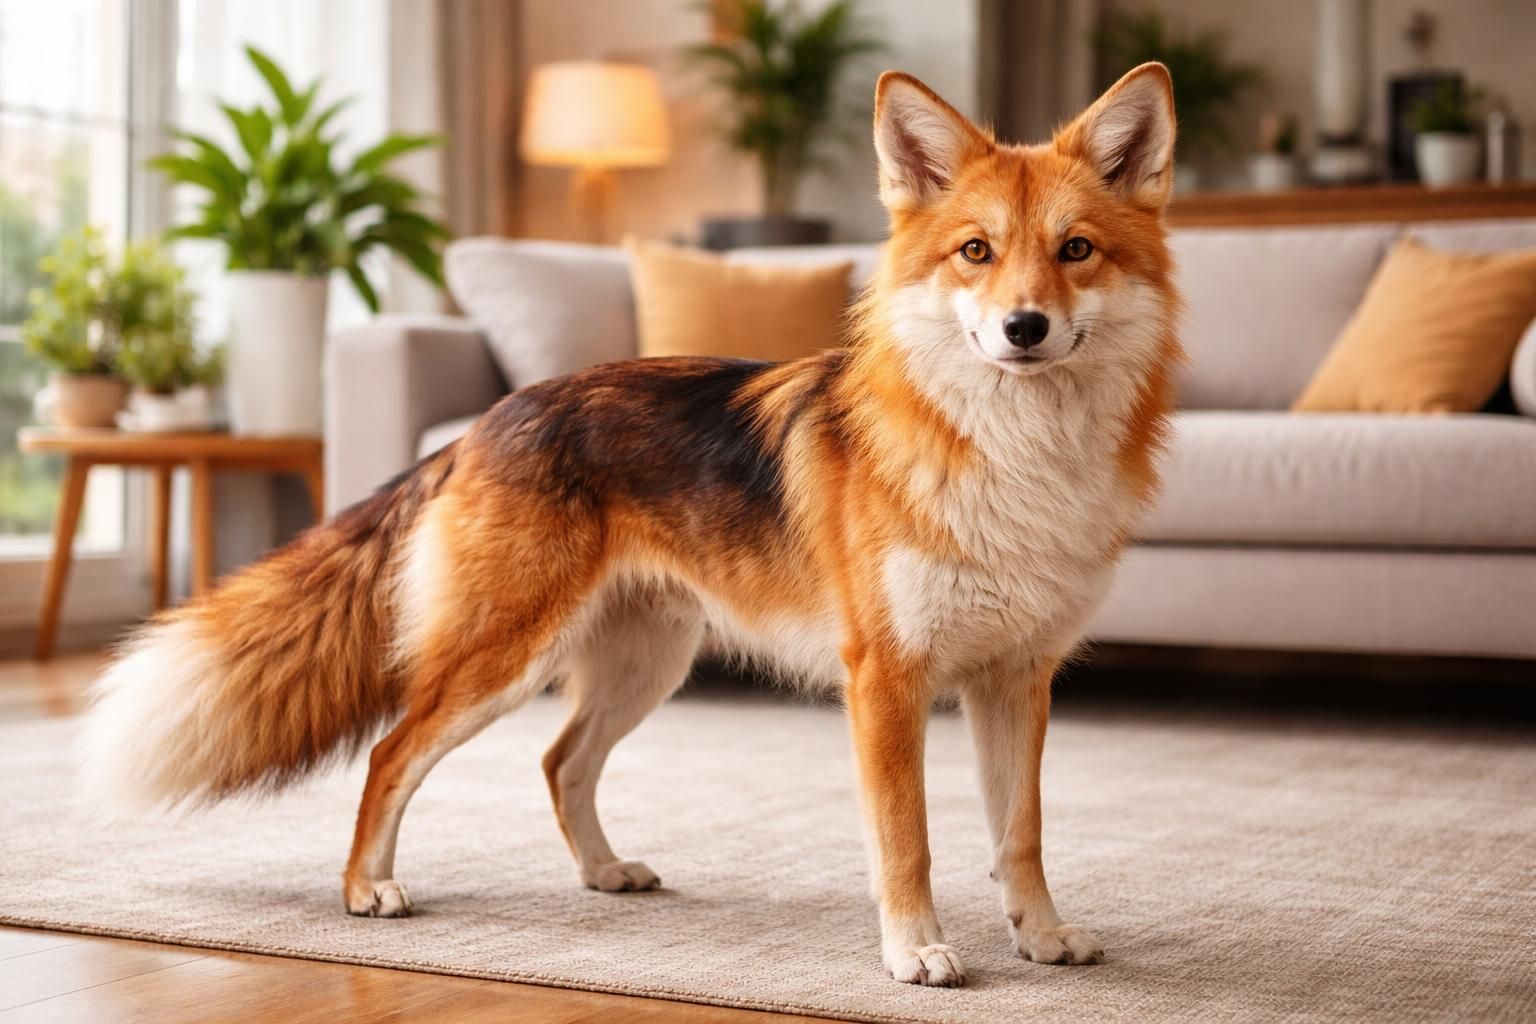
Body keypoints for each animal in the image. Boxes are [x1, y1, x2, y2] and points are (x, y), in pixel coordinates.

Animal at [80, 63, 1181, 987]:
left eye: (1075, 252)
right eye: (976, 253)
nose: (1024, 329)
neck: (1010, 465)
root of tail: (490, 417)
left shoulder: (1016, 678)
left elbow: (1018, 837)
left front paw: (1042, 938)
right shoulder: (886, 684)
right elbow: (907, 843)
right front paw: (916, 952)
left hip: (646, 662)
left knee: (559, 762)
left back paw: (603, 873)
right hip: (506, 660)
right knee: (394, 754)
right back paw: (366, 890)